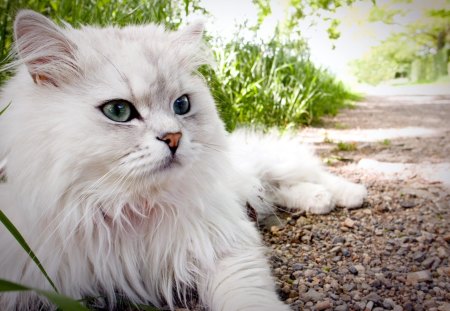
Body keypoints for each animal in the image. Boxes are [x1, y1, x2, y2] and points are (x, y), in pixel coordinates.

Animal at [0, 9, 366, 311]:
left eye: (182, 105)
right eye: (118, 111)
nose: (174, 138)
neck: (128, 209)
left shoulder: (225, 246)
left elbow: (247, 297)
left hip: (271, 164)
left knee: (312, 174)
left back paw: (350, 194)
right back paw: (320, 200)